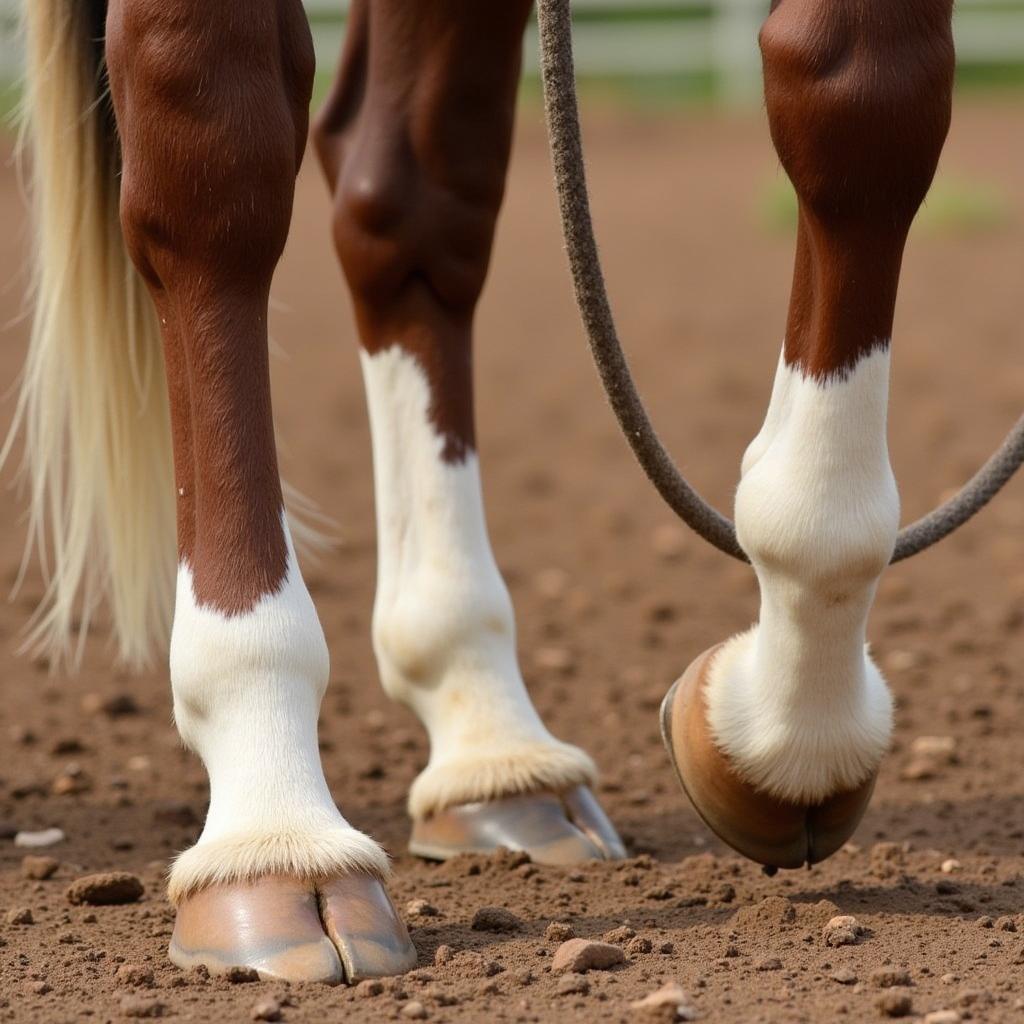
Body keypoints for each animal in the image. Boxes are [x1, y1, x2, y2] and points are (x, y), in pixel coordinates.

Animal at [8, 0, 950, 983]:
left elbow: (861, 101)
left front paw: (785, 734)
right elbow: (216, 178)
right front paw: (274, 831)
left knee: (407, 202)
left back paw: (494, 745)